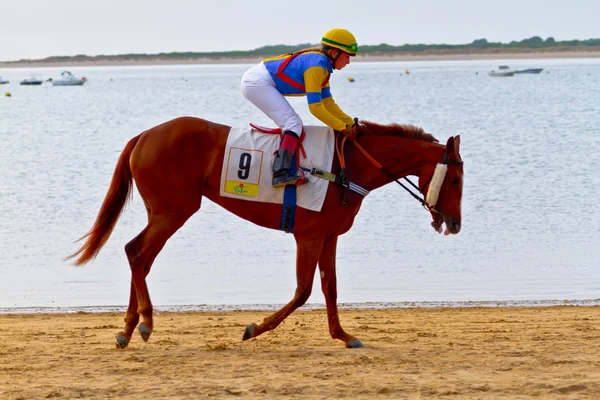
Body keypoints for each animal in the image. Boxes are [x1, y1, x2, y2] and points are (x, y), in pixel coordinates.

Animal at [70, 117, 464, 348]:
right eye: (456, 179)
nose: (455, 223)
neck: (347, 168)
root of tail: (144, 135)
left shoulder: (329, 236)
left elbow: (330, 288)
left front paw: (343, 335)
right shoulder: (309, 235)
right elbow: (304, 291)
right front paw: (255, 328)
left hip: (163, 212)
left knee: (139, 257)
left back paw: (128, 328)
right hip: (173, 212)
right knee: (136, 253)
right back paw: (145, 323)